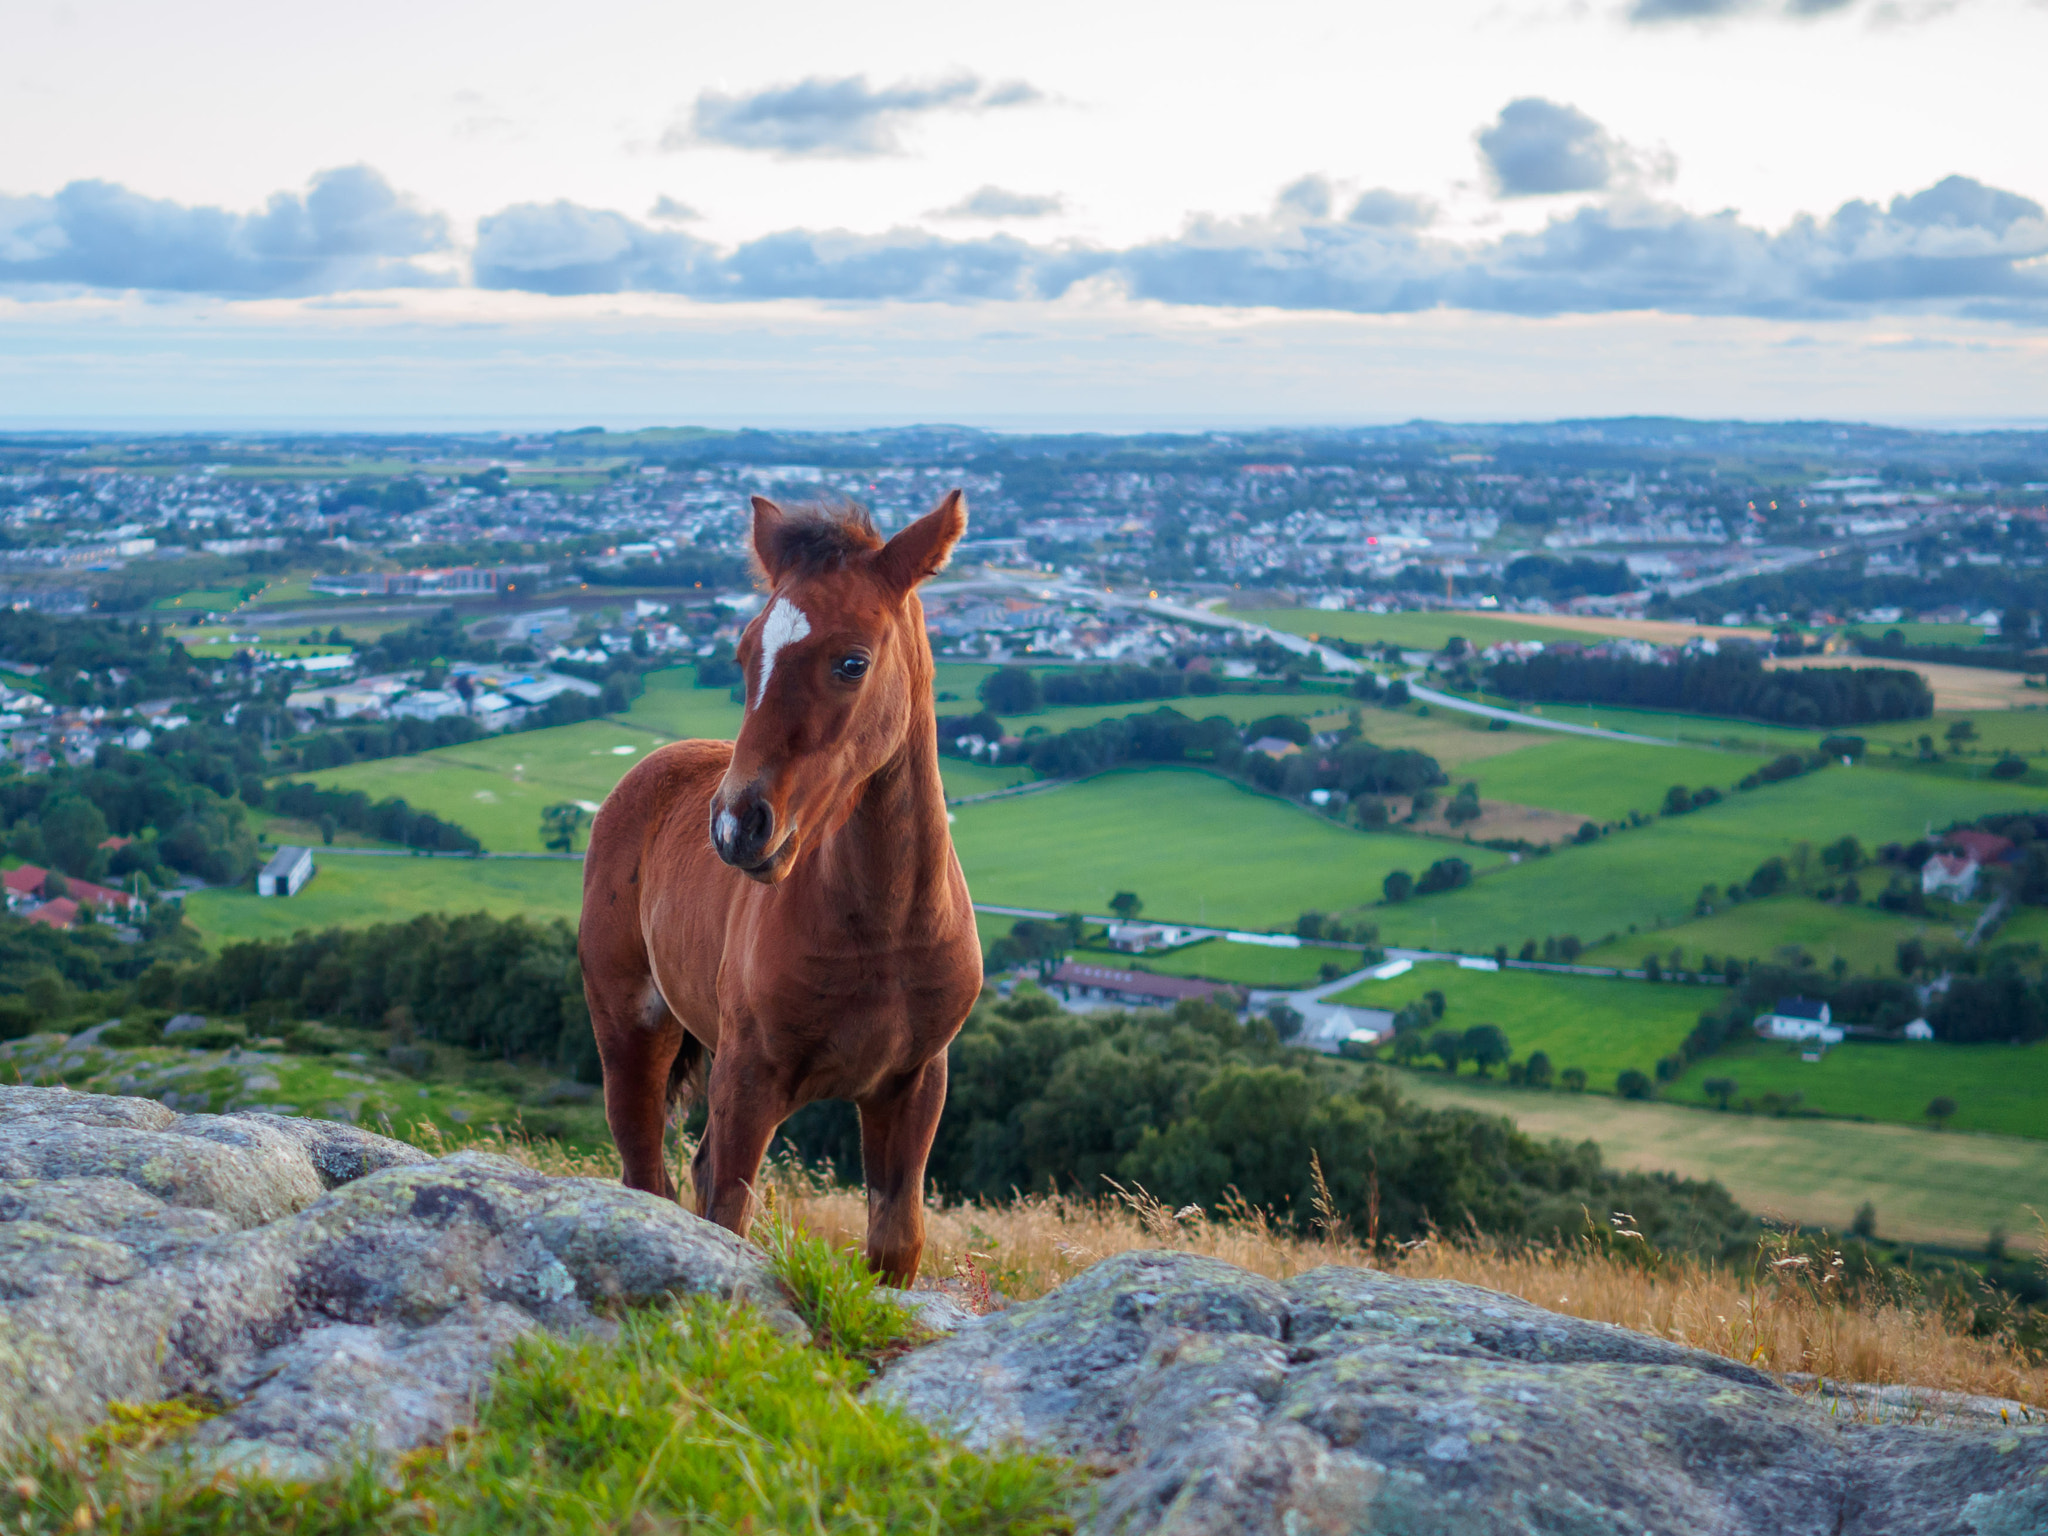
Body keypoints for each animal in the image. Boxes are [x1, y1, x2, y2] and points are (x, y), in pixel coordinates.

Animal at [577, 493, 983, 1286]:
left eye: (853, 662)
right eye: (743, 654)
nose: (738, 827)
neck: (884, 930)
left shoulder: (916, 1084)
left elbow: (896, 1244)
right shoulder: (748, 1080)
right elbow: (725, 1216)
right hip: (631, 1032)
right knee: (647, 1175)